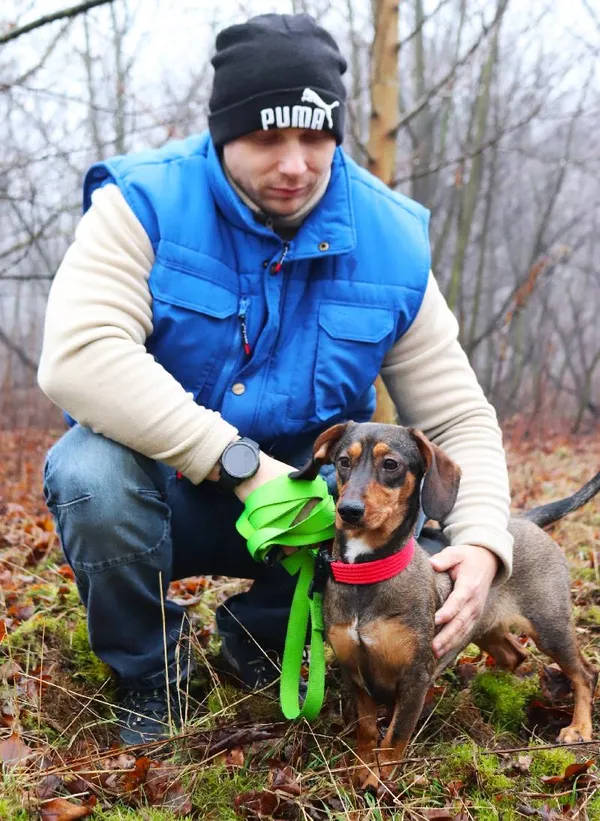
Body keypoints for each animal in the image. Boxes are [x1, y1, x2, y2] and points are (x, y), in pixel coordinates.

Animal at [292, 422, 600, 788]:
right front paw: (361, 770)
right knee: (515, 655)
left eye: (391, 464)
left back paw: (578, 727)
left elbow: (395, 737)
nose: (348, 510)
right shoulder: (354, 672)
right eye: (343, 461)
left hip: (549, 625)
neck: (367, 572)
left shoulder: (415, 677)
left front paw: (380, 781)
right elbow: (366, 731)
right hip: (482, 626)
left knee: (585, 674)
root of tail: (525, 519)